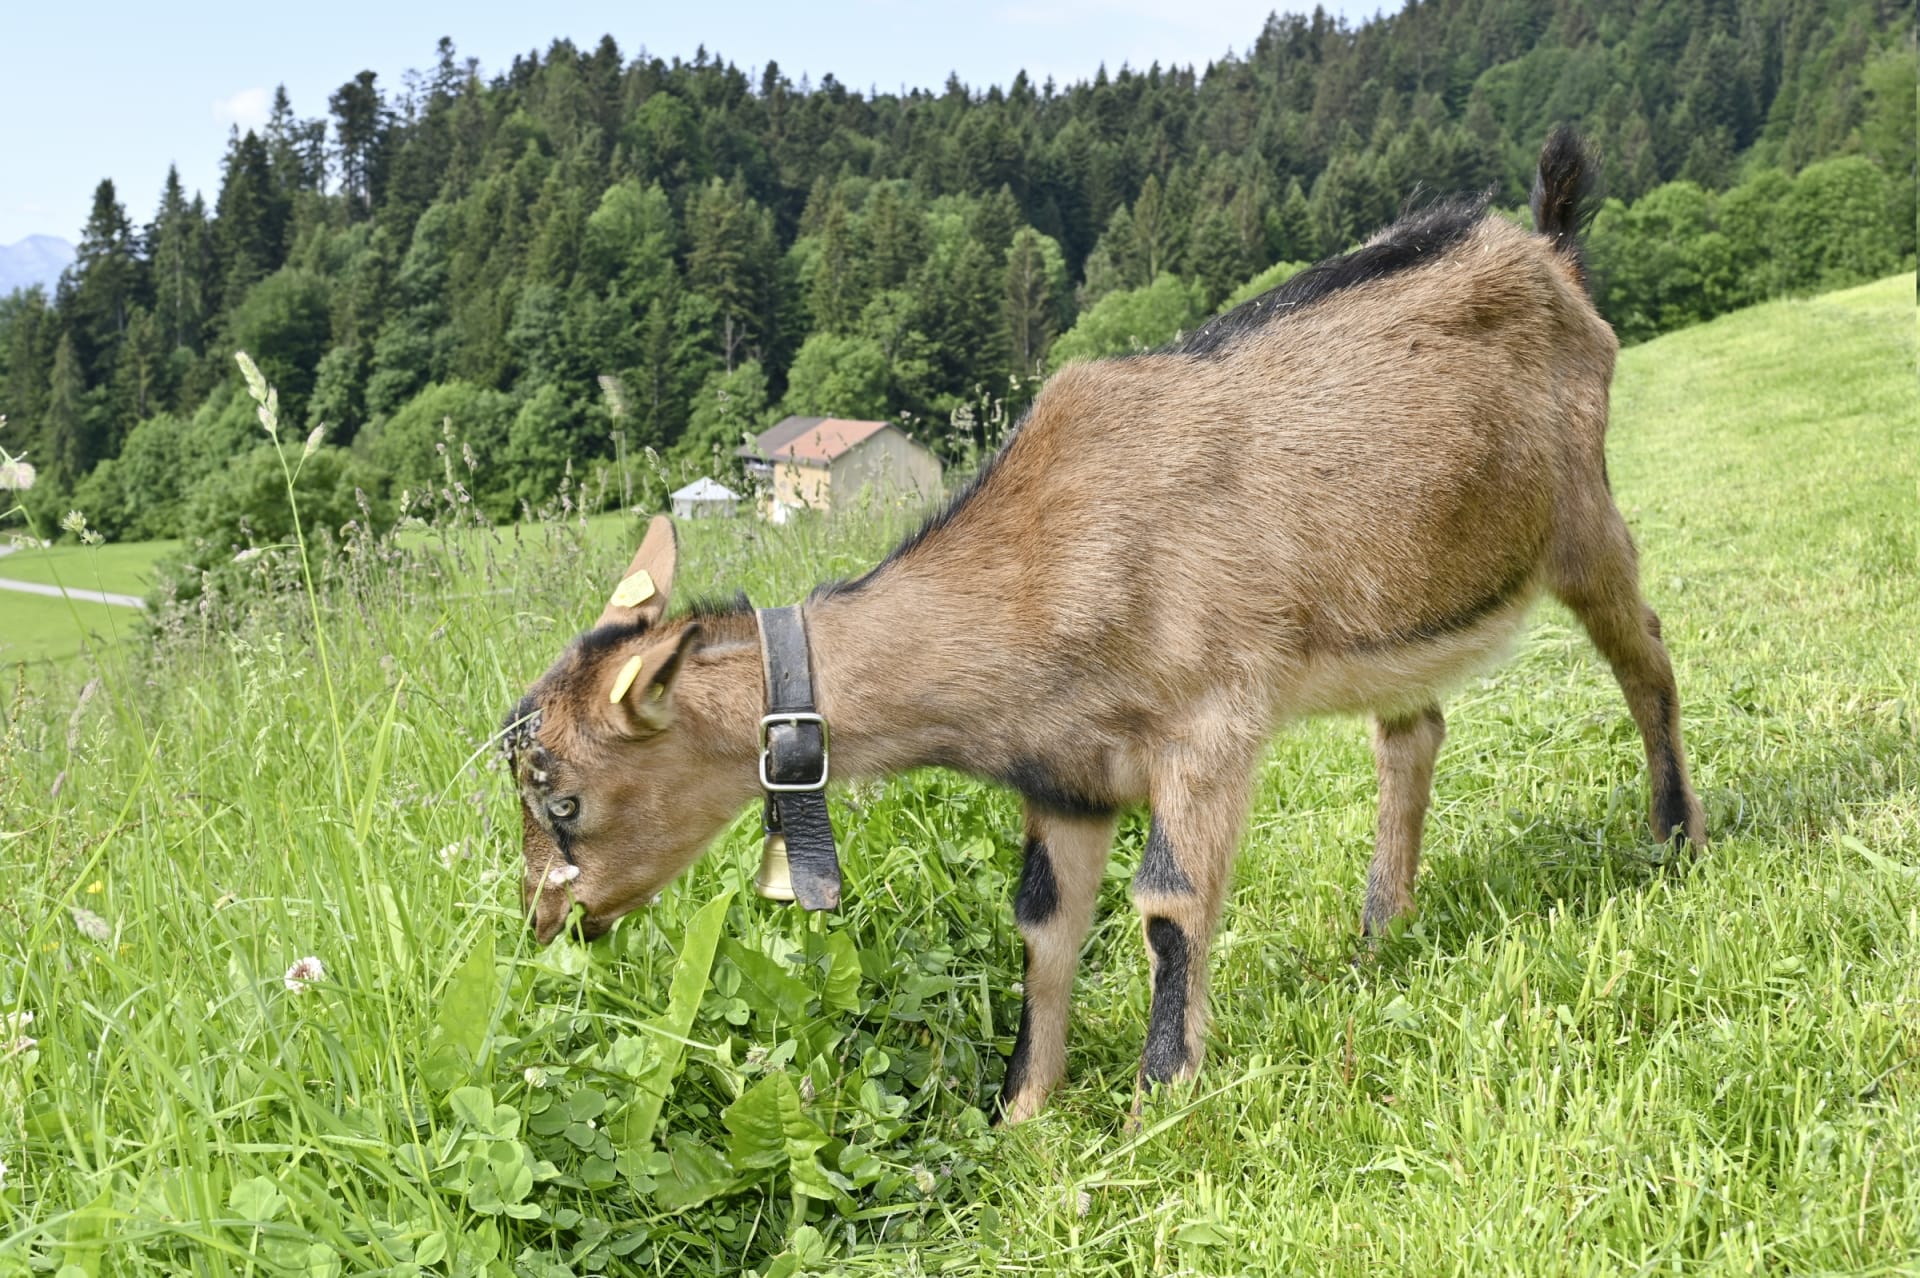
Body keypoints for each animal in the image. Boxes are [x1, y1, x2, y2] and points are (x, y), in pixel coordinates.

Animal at [504, 128, 1707, 1123]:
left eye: (561, 798)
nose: (545, 925)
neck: (1052, 560)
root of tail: (1549, 246)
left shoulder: (1210, 723)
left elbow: (1168, 905)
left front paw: (1155, 1105)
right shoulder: (1066, 776)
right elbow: (1042, 929)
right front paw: (1022, 1116)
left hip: (1582, 513)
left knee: (1645, 653)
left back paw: (1675, 835)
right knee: (1411, 733)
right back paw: (1380, 929)